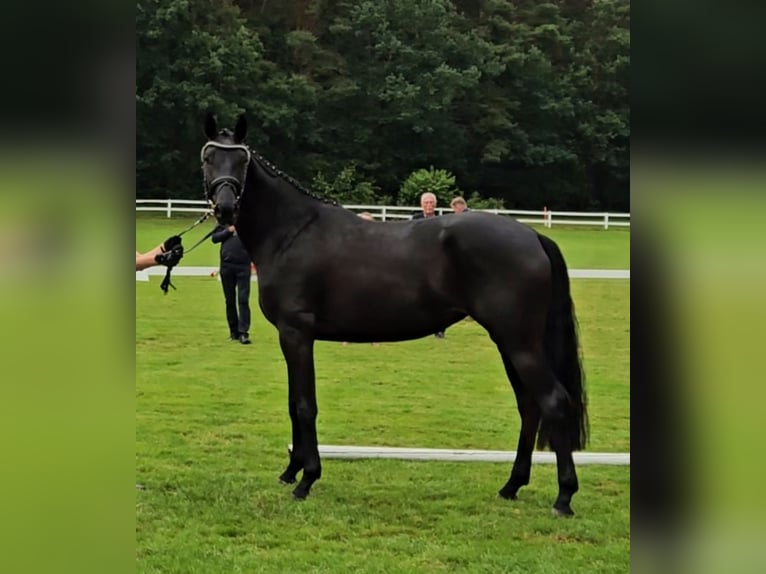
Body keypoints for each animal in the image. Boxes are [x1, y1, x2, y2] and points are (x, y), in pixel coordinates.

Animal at [201, 115, 592, 520]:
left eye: (242, 161)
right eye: (208, 158)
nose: (225, 208)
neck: (292, 232)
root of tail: (532, 235)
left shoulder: (296, 334)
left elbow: (305, 405)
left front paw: (306, 479)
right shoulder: (292, 337)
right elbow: (295, 404)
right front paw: (291, 471)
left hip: (519, 342)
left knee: (553, 401)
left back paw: (564, 497)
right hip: (510, 342)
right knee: (529, 405)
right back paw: (512, 485)